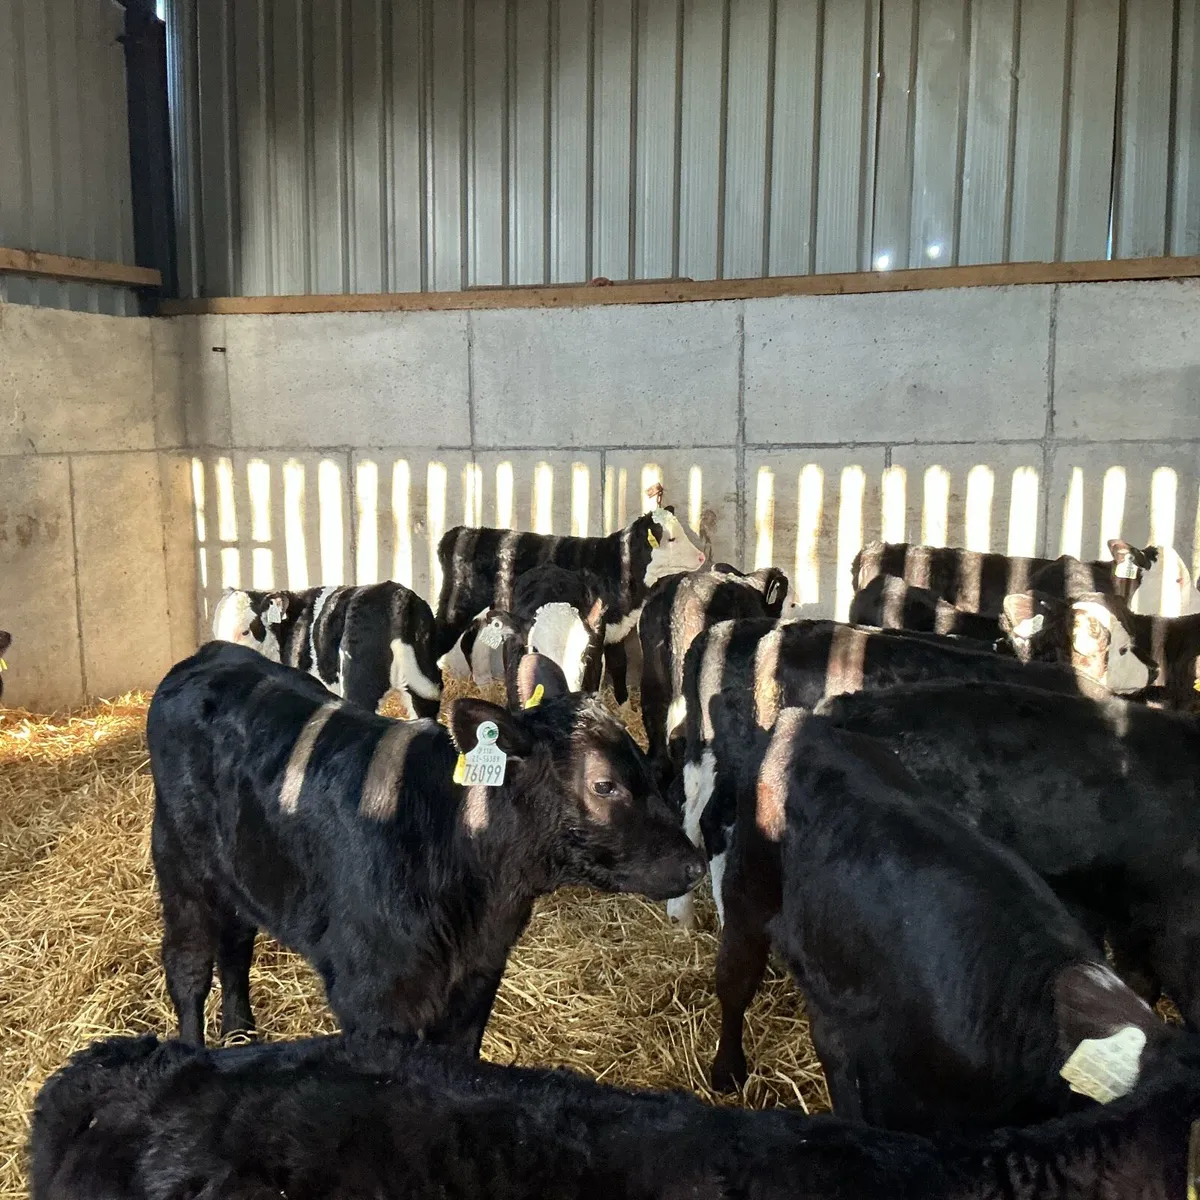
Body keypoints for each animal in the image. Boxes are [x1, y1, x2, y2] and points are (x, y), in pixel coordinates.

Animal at [146, 642, 705, 1049]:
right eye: (604, 785)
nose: (695, 865)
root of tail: (209, 654)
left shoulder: (477, 983)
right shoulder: (371, 1000)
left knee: (236, 943)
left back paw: (240, 1034)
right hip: (181, 869)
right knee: (188, 966)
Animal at [435, 491, 706, 703]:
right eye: (671, 538)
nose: (702, 556)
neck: (617, 566)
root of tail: (464, 532)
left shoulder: (616, 629)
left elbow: (619, 665)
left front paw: (623, 707)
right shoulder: (598, 629)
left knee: (472, 642)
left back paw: (485, 688)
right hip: (457, 604)